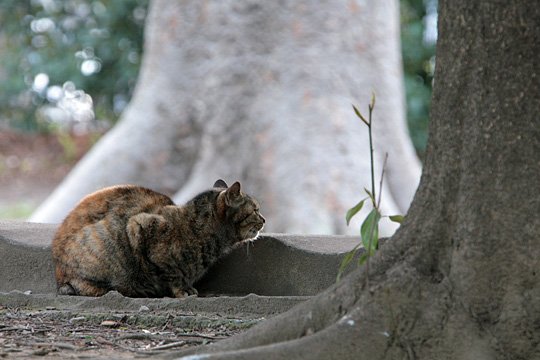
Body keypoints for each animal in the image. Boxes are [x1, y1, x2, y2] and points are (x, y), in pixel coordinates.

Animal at [49, 180, 264, 298]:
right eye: (255, 210)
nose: (264, 219)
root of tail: (60, 279)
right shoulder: (139, 226)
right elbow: (171, 272)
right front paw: (181, 290)